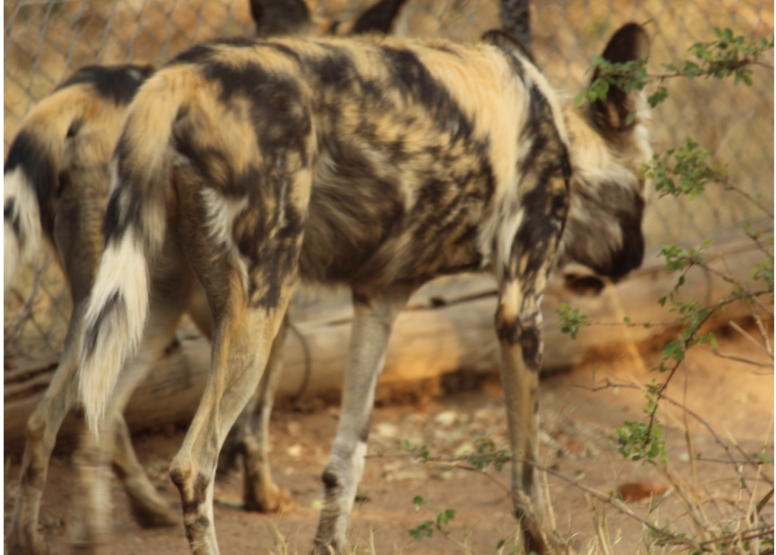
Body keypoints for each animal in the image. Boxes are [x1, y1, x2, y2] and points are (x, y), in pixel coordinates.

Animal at [77, 22, 648, 555]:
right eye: (644, 195)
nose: (638, 258)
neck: (559, 131)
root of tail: (176, 77)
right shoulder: (519, 311)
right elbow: (529, 471)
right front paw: (545, 541)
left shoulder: (380, 300)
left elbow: (347, 457)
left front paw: (330, 542)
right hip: (261, 309)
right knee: (194, 465)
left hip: (156, 310)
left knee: (91, 423)